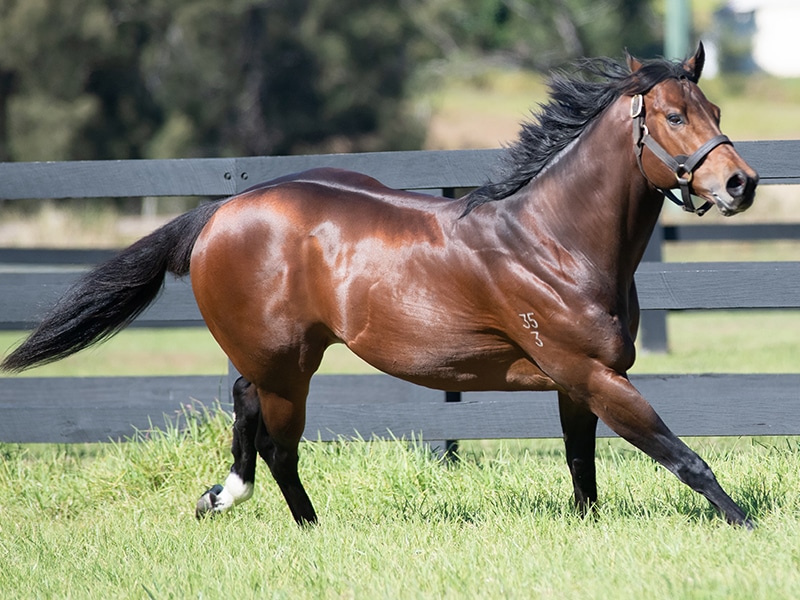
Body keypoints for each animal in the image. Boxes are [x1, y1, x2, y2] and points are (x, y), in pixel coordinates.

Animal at [1, 43, 758, 527]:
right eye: (673, 116)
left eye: (717, 111)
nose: (739, 184)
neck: (553, 239)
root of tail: (221, 210)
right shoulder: (592, 374)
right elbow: (685, 458)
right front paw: (746, 525)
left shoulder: (579, 382)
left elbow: (582, 469)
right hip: (287, 367)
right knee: (278, 444)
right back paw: (306, 526)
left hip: (278, 357)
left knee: (245, 409)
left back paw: (221, 499)